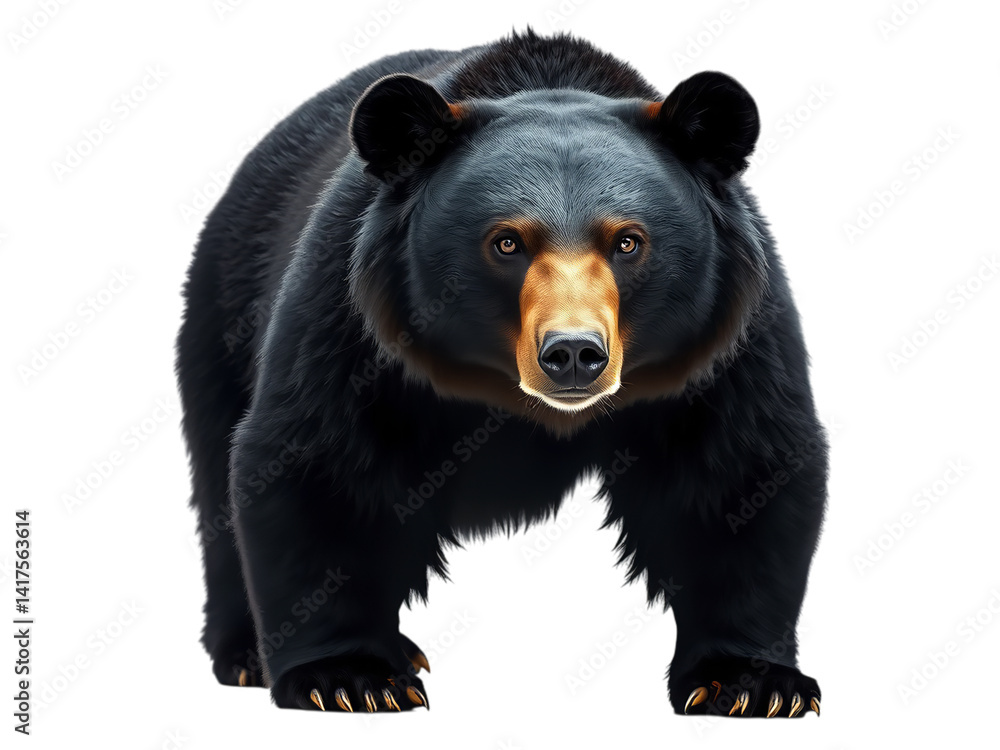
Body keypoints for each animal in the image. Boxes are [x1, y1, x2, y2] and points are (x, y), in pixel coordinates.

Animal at [176, 29, 826, 718]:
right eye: (506, 242)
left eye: (628, 242)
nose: (574, 354)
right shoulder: (351, 319)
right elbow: (322, 466)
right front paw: (349, 678)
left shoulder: (727, 340)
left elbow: (737, 475)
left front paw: (754, 684)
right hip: (225, 313)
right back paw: (248, 655)